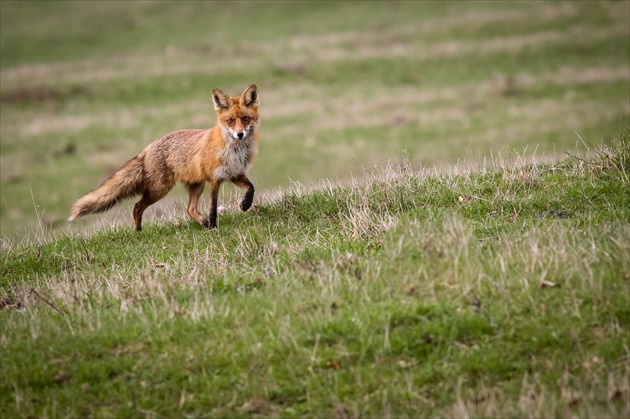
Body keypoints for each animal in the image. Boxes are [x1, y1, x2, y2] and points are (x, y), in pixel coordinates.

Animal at [67, 83, 260, 231]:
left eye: (245, 119)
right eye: (230, 121)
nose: (240, 134)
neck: (234, 151)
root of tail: (148, 147)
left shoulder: (234, 174)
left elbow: (251, 188)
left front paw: (245, 204)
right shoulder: (214, 179)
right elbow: (213, 207)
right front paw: (214, 227)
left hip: (196, 185)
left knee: (190, 209)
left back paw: (203, 224)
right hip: (160, 189)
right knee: (137, 207)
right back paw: (138, 232)